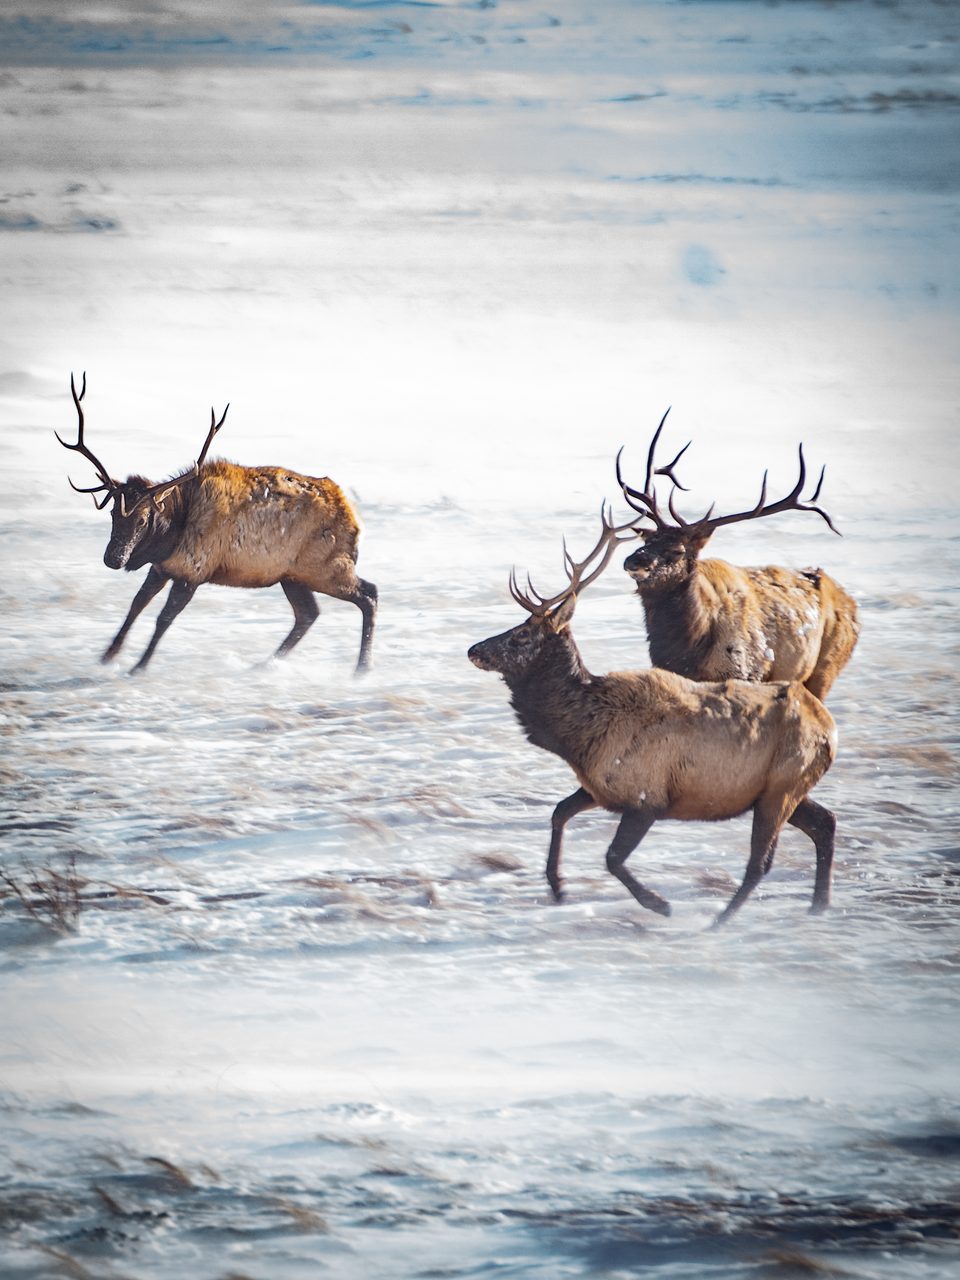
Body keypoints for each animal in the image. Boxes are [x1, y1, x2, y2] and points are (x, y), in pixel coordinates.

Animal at [57, 373, 377, 674]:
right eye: (113, 513)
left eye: (143, 519)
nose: (114, 558)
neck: (172, 533)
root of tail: (354, 520)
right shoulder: (162, 568)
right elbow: (136, 605)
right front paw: (107, 655)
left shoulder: (193, 571)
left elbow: (164, 619)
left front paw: (139, 666)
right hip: (292, 576)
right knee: (308, 614)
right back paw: (265, 664)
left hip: (326, 568)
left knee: (369, 594)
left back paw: (361, 668)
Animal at [468, 511, 838, 926]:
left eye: (521, 635)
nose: (474, 649)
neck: (576, 738)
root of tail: (828, 727)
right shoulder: (601, 789)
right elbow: (559, 812)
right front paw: (557, 887)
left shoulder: (647, 797)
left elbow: (612, 858)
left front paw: (659, 903)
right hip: (780, 789)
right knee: (825, 823)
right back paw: (818, 904)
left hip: (783, 786)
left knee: (761, 861)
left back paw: (720, 921)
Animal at [617, 411, 859, 701]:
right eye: (647, 540)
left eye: (677, 551)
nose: (633, 561)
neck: (687, 648)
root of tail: (852, 604)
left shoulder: (747, 670)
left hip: (828, 666)